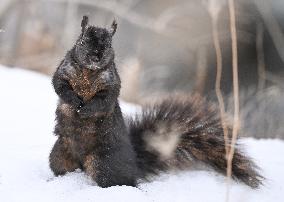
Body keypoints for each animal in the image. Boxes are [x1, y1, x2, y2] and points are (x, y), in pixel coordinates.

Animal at [49, 15, 264, 188]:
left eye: (109, 44)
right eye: (84, 41)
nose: (97, 56)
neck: (89, 72)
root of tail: (134, 164)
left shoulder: (111, 85)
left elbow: (104, 100)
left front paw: (85, 109)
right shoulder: (64, 71)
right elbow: (59, 85)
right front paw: (73, 100)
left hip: (103, 163)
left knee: (120, 181)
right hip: (59, 154)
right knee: (62, 167)